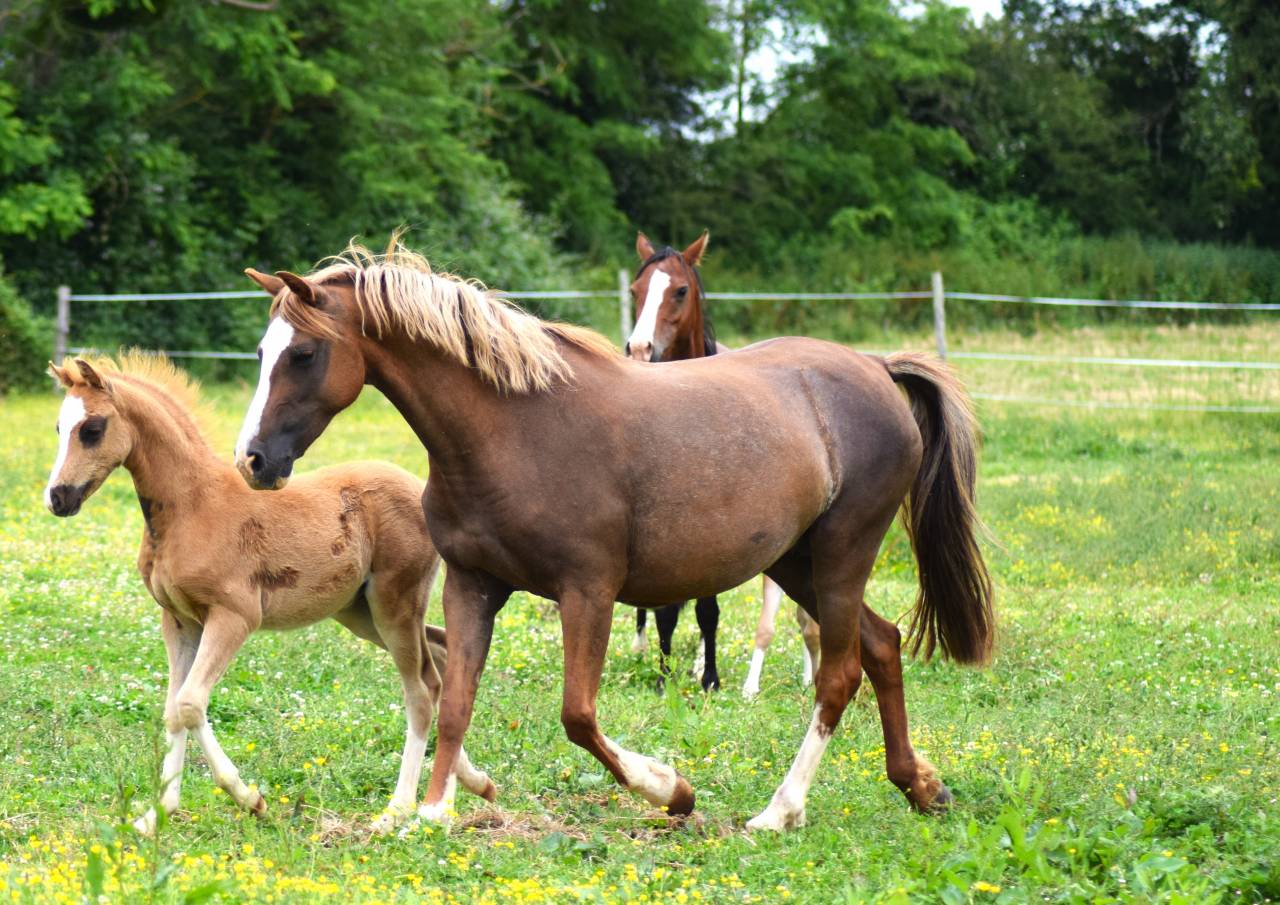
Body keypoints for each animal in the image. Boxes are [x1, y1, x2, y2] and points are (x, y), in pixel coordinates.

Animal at [44, 353, 494, 836]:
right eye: (58, 427)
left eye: (92, 429)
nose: (57, 498)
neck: (191, 506)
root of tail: (417, 487)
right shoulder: (179, 620)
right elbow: (171, 709)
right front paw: (158, 813)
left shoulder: (234, 616)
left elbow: (189, 703)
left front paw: (249, 799)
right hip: (360, 612)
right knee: (442, 659)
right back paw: (474, 784)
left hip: (394, 604)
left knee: (422, 693)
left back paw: (398, 810)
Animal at [624, 230, 822, 699]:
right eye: (635, 291)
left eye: (680, 290)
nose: (640, 348)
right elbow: (666, 611)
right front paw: (664, 676)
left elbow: (707, 611)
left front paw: (709, 677)